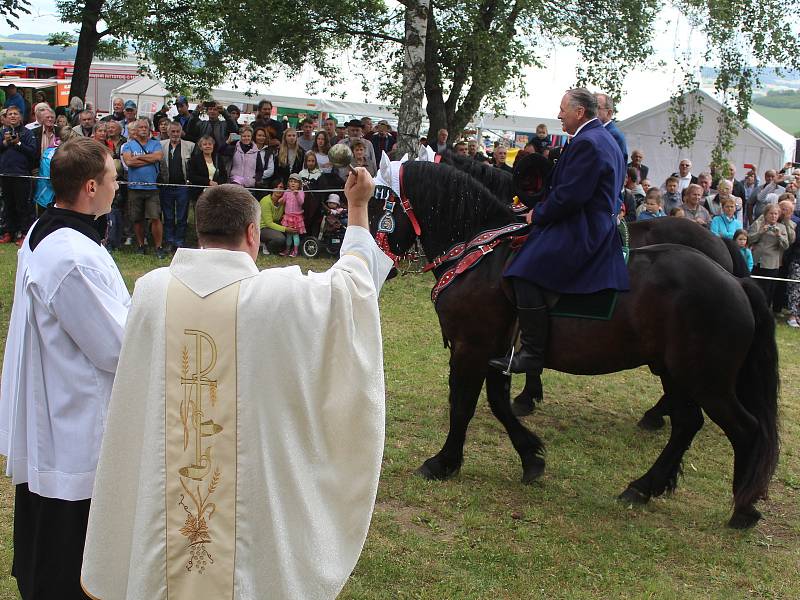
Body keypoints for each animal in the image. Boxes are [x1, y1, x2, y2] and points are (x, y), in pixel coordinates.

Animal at [376, 161, 780, 528]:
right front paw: (531, 457)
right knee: (686, 424)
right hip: (676, 373)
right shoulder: (495, 351)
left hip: (706, 380)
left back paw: (742, 508)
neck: (479, 253)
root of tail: (735, 281)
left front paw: (443, 462)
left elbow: (462, 406)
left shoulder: (471, 348)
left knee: (745, 429)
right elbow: (498, 404)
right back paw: (645, 486)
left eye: (379, 201)